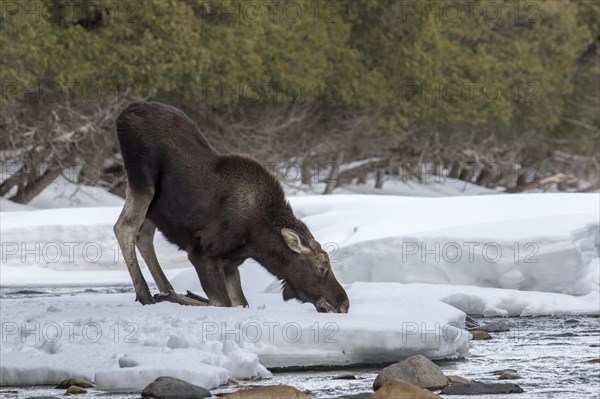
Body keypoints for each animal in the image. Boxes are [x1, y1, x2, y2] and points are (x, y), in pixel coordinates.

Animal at [113, 101, 350, 314]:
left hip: (154, 208)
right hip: (142, 183)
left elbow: (240, 303)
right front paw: (176, 297)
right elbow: (223, 303)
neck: (257, 241)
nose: (344, 304)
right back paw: (146, 294)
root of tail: (123, 115)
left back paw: (165, 288)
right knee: (124, 227)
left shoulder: (231, 264)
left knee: (143, 235)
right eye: (322, 268)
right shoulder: (202, 252)